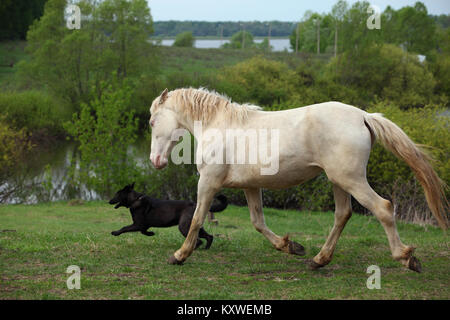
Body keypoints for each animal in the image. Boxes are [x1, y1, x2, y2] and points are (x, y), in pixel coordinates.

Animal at [149, 87, 448, 272]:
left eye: (152, 122)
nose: (155, 161)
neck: (217, 125)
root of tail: (363, 116)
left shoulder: (208, 183)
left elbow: (197, 219)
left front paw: (179, 255)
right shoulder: (250, 186)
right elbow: (258, 222)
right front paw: (291, 246)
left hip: (351, 180)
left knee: (383, 208)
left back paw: (406, 258)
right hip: (339, 181)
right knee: (343, 214)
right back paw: (318, 260)